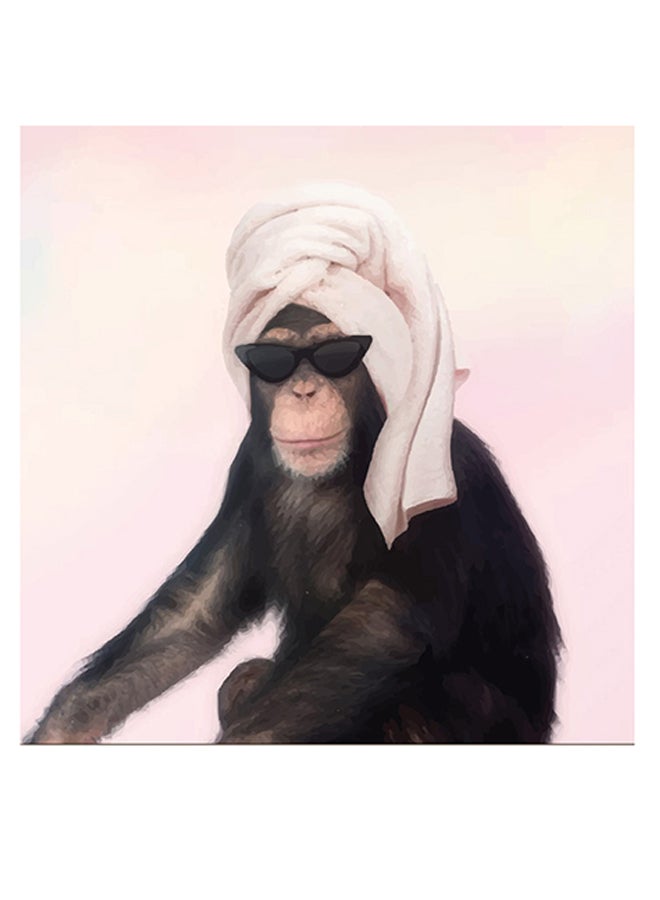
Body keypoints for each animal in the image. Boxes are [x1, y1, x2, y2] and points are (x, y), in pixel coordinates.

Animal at [26, 303, 561, 744]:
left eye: (336, 356)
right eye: (274, 361)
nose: (304, 389)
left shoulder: (436, 470)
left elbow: (382, 626)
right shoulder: (247, 467)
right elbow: (196, 612)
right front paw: (59, 731)